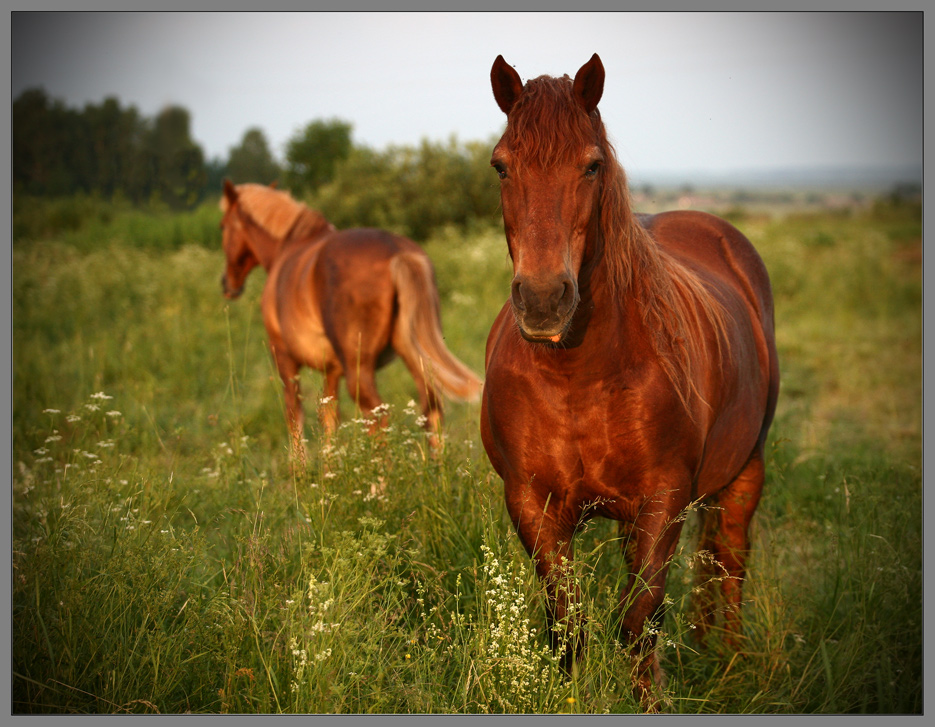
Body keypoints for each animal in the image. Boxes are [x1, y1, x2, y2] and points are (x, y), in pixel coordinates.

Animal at [219, 179, 482, 458]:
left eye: (223, 226)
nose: (227, 284)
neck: (288, 249)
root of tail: (397, 252)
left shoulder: (284, 358)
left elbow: (295, 419)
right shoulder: (332, 369)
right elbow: (328, 421)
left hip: (361, 369)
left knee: (378, 417)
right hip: (415, 355)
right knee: (431, 409)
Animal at [482, 54, 784, 704]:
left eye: (592, 165)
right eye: (501, 165)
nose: (543, 301)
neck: (578, 375)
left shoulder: (662, 498)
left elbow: (639, 618)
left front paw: (651, 698)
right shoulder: (532, 504)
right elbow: (567, 624)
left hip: (745, 468)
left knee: (730, 558)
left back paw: (729, 656)